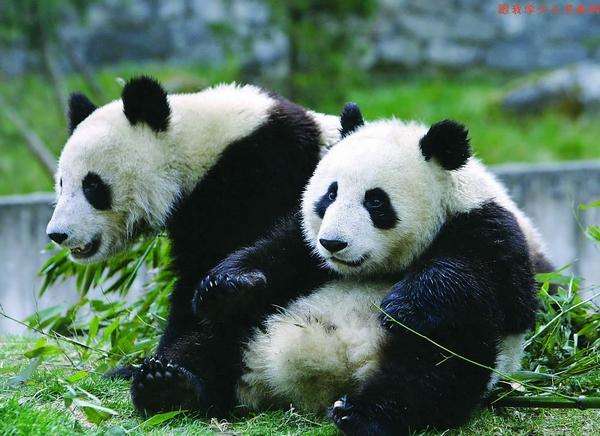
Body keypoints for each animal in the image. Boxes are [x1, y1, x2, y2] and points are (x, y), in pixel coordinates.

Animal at [193, 104, 540, 434]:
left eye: (375, 201)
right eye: (330, 193)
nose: (333, 243)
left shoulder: (487, 229)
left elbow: (496, 288)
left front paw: (402, 306)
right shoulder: (305, 246)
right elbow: (277, 251)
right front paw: (229, 283)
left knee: (436, 364)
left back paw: (362, 413)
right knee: (213, 331)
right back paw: (183, 381)